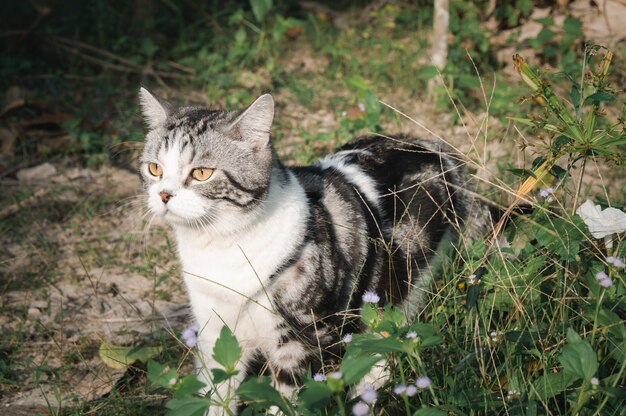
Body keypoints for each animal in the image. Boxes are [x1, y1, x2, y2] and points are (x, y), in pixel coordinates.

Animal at [138, 88, 488, 412]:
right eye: (154, 169)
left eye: (201, 173)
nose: (164, 195)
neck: (220, 246)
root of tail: (437, 148)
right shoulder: (214, 330)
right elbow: (217, 392)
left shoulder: (300, 334)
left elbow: (288, 399)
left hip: (406, 268)